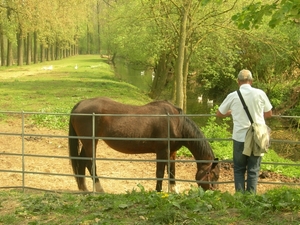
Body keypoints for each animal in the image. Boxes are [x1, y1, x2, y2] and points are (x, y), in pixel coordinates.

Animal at [68, 96, 219, 192]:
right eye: (214, 175)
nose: (214, 192)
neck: (176, 122)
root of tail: (80, 104)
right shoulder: (162, 151)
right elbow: (160, 173)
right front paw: (158, 192)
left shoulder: (172, 152)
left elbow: (172, 172)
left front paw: (173, 191)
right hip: (90, 142)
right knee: (90, 164)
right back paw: (99, 189)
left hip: (87, 142)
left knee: (81, 162)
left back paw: (84, 189)